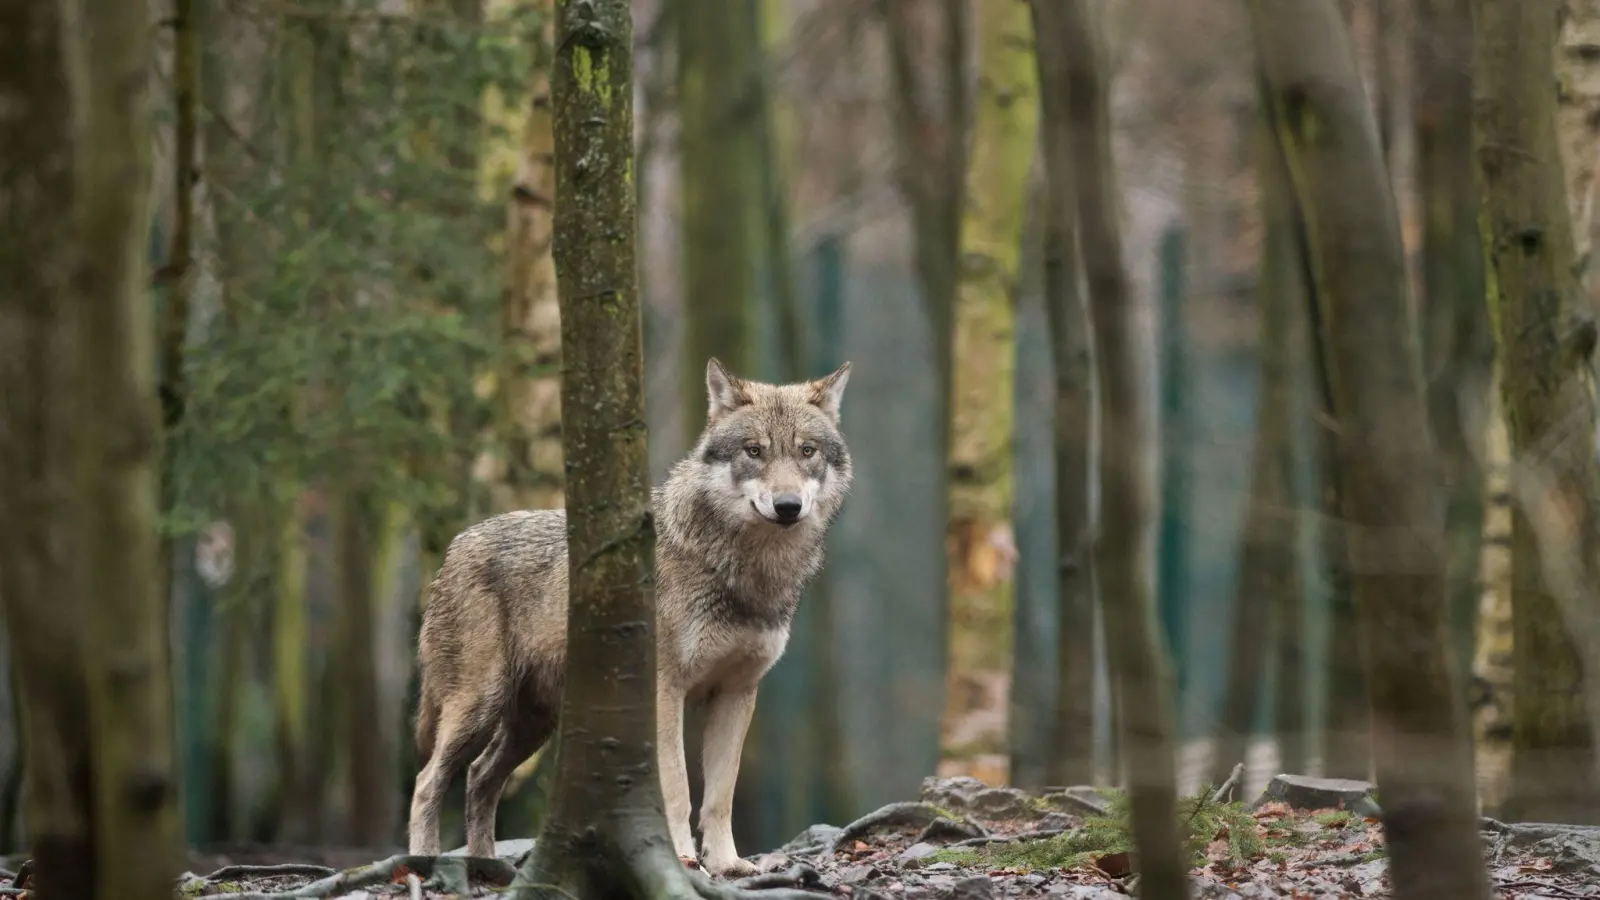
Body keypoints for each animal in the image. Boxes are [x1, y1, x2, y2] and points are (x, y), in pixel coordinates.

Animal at [409, 358, 851, 877]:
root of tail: (455, 546)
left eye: (806, 451)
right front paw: (681, 859)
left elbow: (720, 795)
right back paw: (423, 864)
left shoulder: (738, 693)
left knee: (479, 777)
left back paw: (487, 867)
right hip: (479, 706)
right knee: (427, 781)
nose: (787, 506)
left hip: (533, 724)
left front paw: (727, 864)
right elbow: (678, 789)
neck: (744, 571)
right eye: (754, 451)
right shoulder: (665, 691)